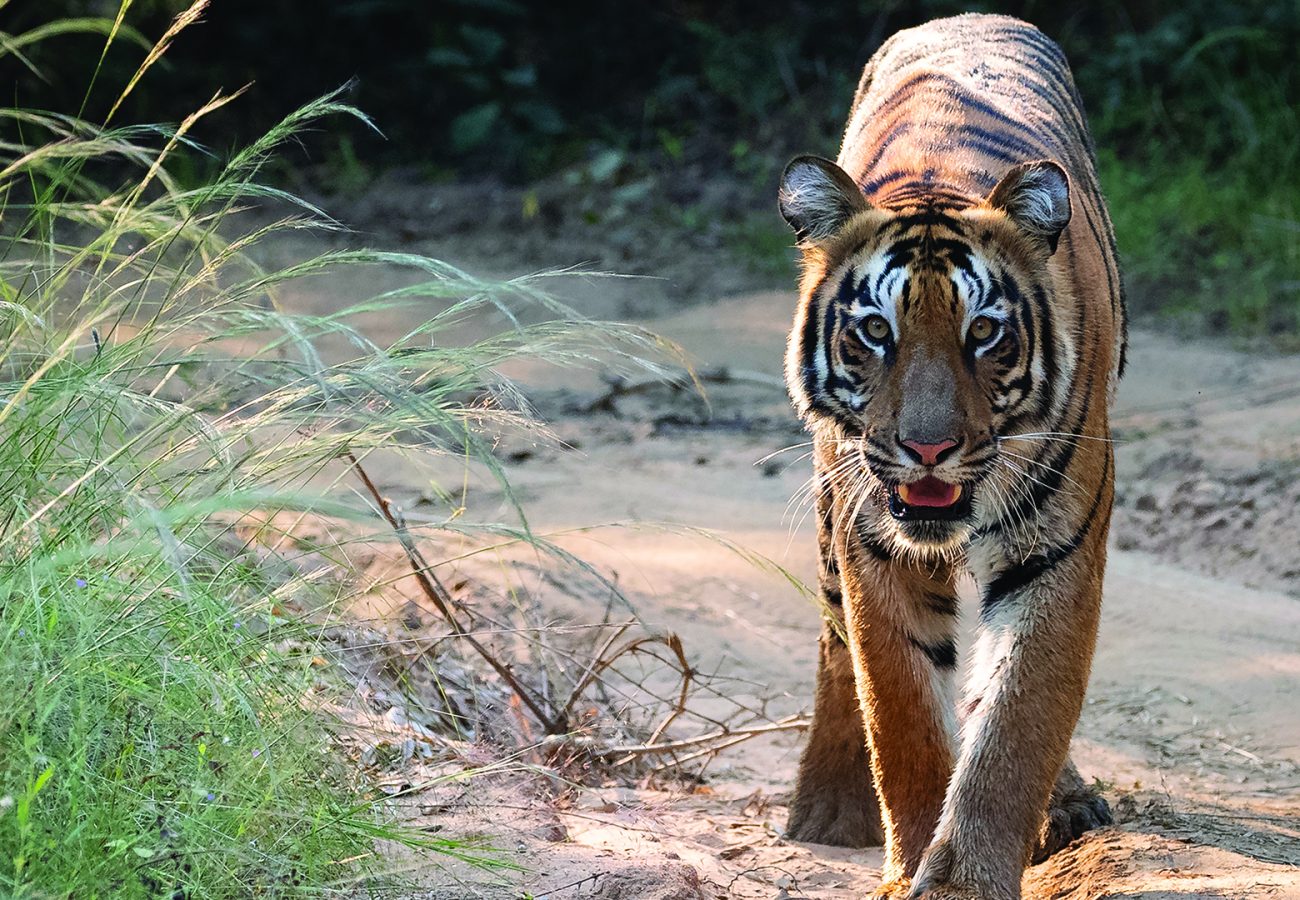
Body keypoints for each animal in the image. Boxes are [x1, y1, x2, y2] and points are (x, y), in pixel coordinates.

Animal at [769, 14, 1128, 900]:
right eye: (875, 331)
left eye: (984, 333)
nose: (928, 447)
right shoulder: (874, 545)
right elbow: (901, 714)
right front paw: (908, 866)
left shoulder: (1056, 551)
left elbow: (1016, 722)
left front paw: (967, 878)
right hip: (829, 511)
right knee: (835, 645)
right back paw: (829, 811)